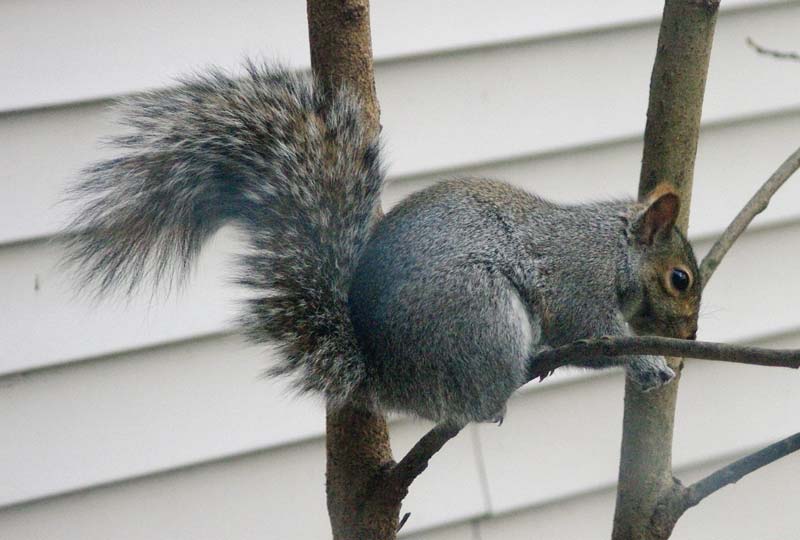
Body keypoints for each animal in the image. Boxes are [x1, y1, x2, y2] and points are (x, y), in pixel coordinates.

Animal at [62, 62, 700, 426]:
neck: (615, 247)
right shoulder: (577, 280)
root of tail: (388, 375)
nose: (689, 336)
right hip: (481, 314)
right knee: (480, 395)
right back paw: (501, 393)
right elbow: (593, 333)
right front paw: (648, 363)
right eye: (680, 279)